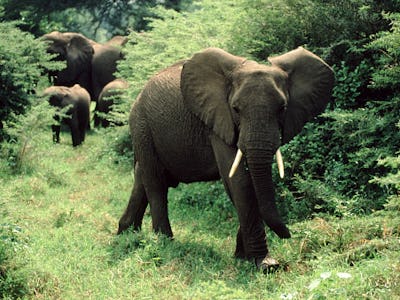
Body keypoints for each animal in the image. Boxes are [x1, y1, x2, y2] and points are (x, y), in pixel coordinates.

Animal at [118, 47, 334, 272]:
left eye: (283, 108)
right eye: (236, 109)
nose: (289, 234)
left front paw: (243, 257)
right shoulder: (218, 120)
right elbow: (240, 181)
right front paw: (265, 264)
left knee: (142, 178)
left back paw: (127, 234)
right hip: (142, 125)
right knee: (156, 182)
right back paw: (165, 243)